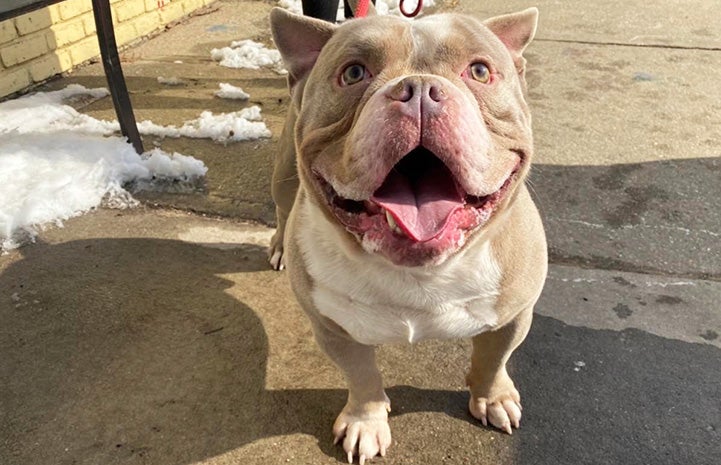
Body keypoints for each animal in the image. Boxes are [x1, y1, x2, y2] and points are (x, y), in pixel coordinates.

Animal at [268, 4, 544, 464]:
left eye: (480, 71)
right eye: (353, 73)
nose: (418, 89)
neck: (419, 271)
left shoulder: (514, 315)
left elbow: (494, 359)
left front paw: (492, 398)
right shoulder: (332, 328)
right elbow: (362, 376)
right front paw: (365, 422)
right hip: (285, 173)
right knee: (281, 204)